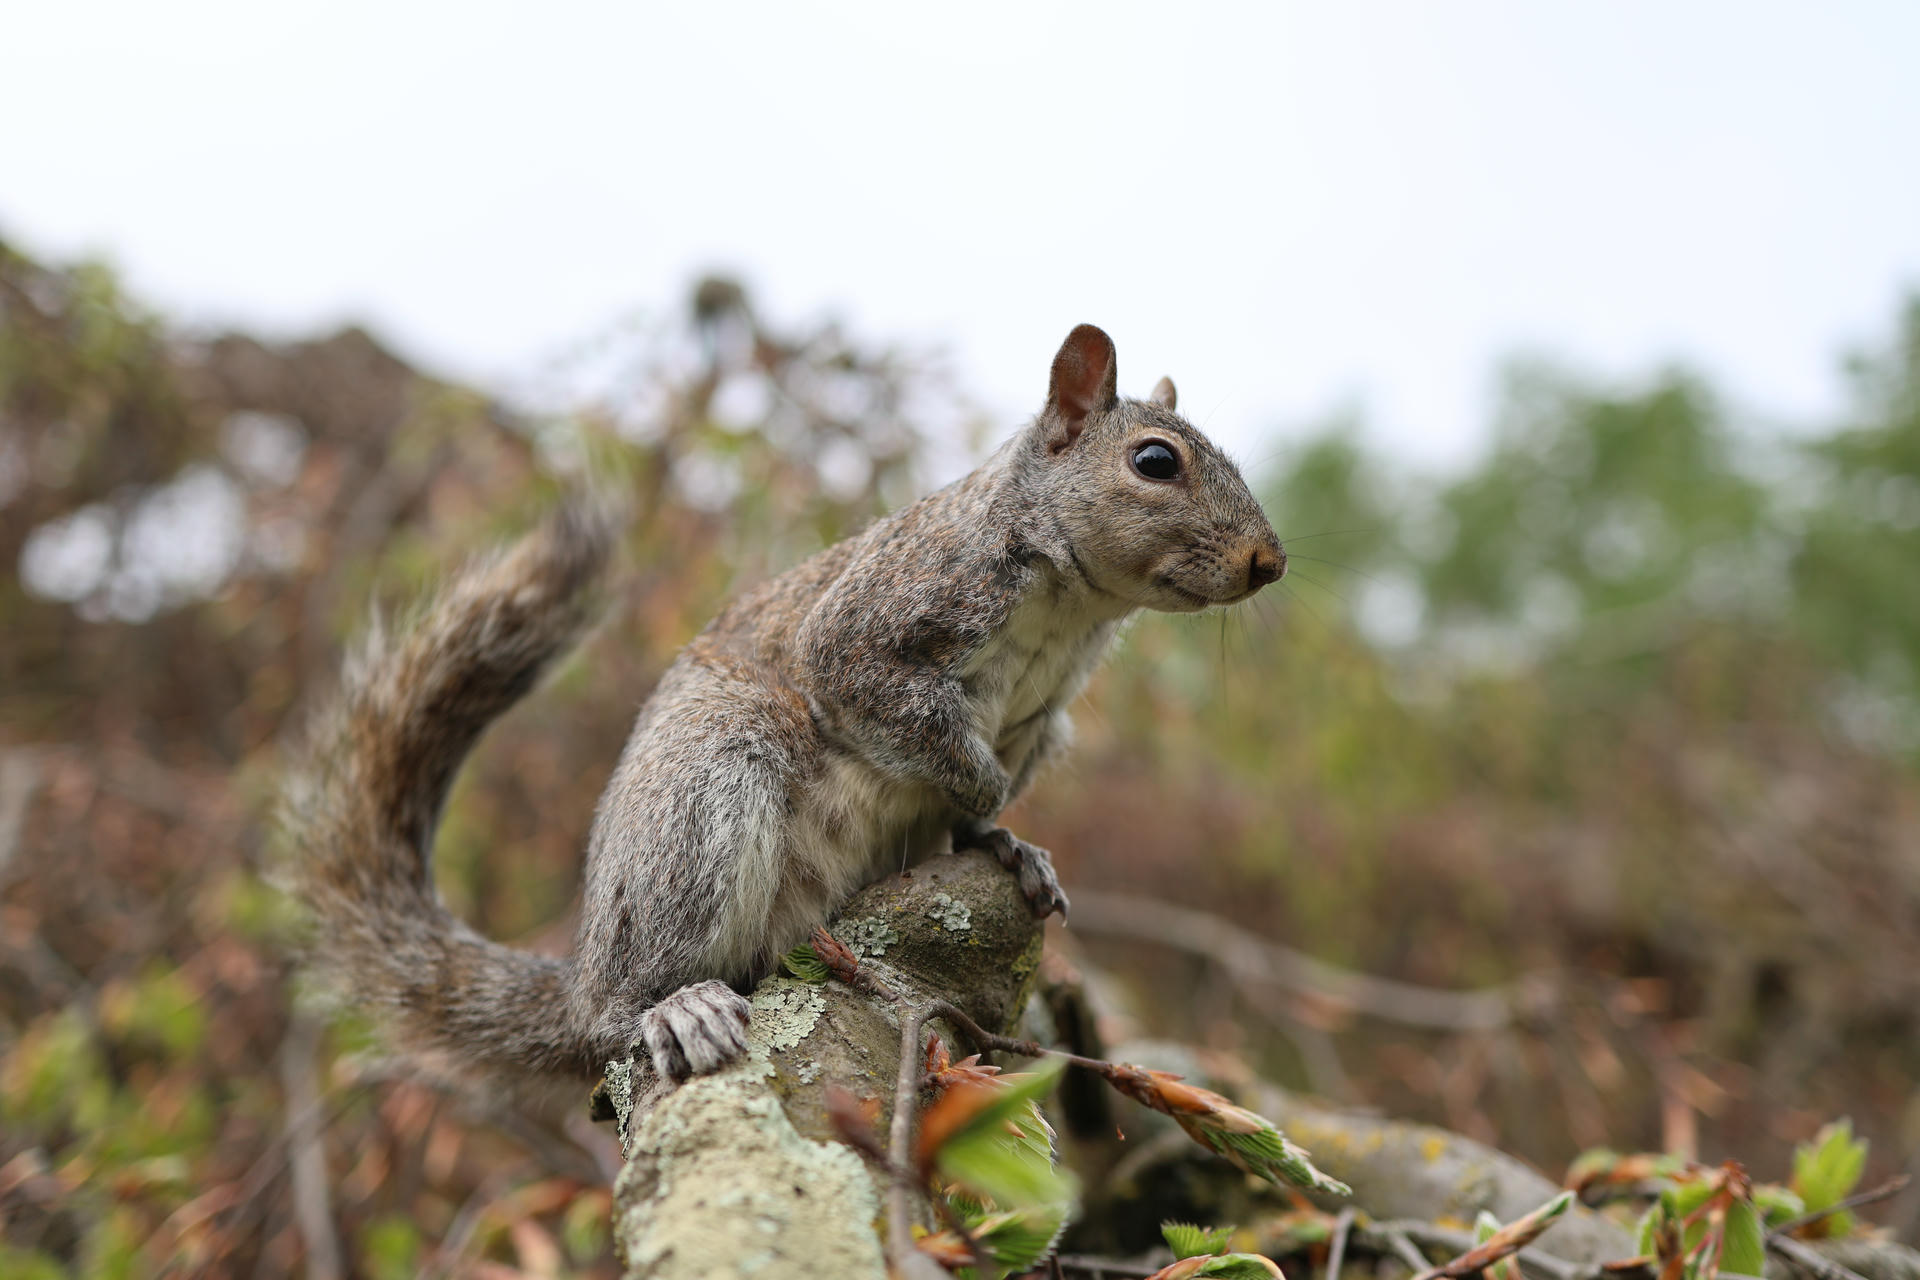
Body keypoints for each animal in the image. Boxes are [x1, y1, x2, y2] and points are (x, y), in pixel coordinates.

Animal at [281, 323, 1285, 1090]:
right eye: (1154, 461)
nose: (1268, 562)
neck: (1072, 609)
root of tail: (577, 978)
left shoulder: (1045, 719)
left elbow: (977, 801)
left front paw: (1005, 840)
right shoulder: (875, 626)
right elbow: (902, 715)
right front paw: (984, 790)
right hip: (702, 790)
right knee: (620, 1007)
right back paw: (670, 1008)